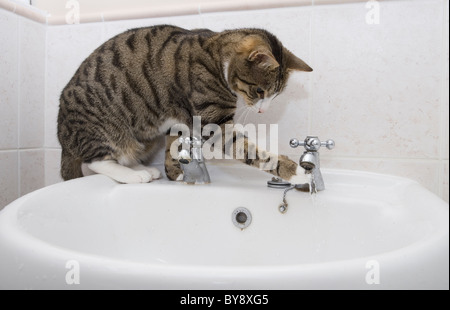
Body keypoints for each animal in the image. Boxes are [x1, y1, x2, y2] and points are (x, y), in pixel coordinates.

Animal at [57, 25, 312, 184]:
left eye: (275, 96)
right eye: (260, 91)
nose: (262, 109)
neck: (215, 57)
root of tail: (63, 139)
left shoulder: (178, 120)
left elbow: (173, 145)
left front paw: (176, 173)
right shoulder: (214, 122)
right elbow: (246, 149)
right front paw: (295, 171)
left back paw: (142, 169)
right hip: (101, 125)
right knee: (96, 161)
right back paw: (134, 175)